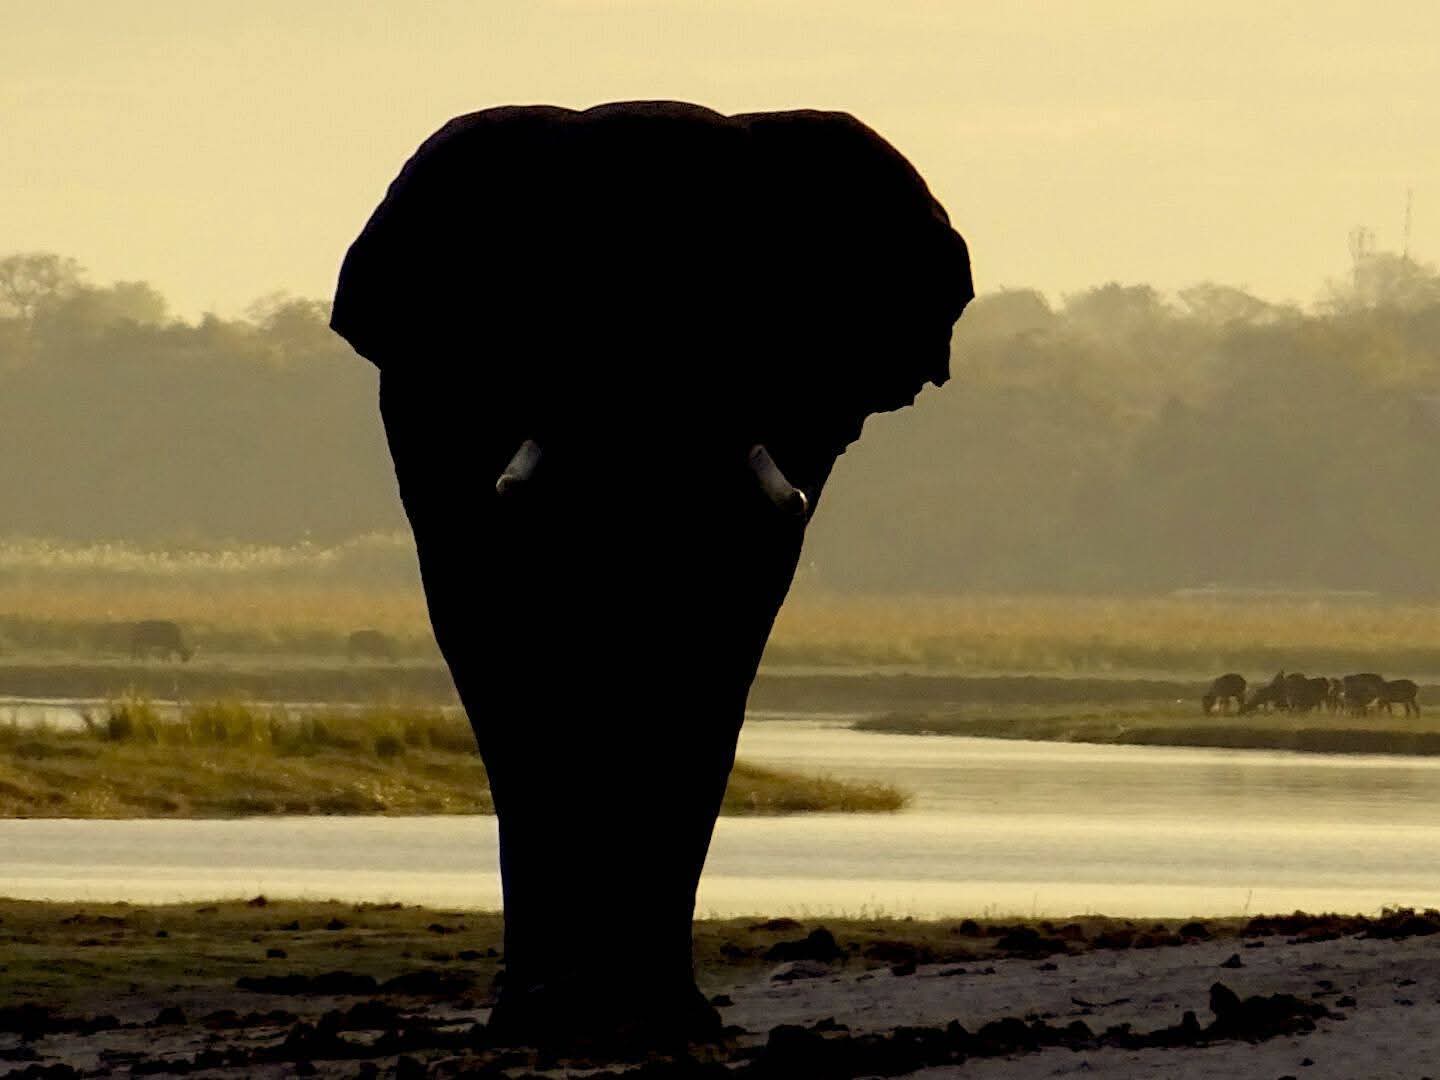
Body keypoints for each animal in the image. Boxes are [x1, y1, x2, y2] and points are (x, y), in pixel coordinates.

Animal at [330, 100, 973, 1049]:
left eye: (751, 300)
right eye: (556, 293)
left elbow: (716, 639)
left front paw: (668, 1018)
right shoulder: (442, 414)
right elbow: (501, 639)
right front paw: (546, 1016)